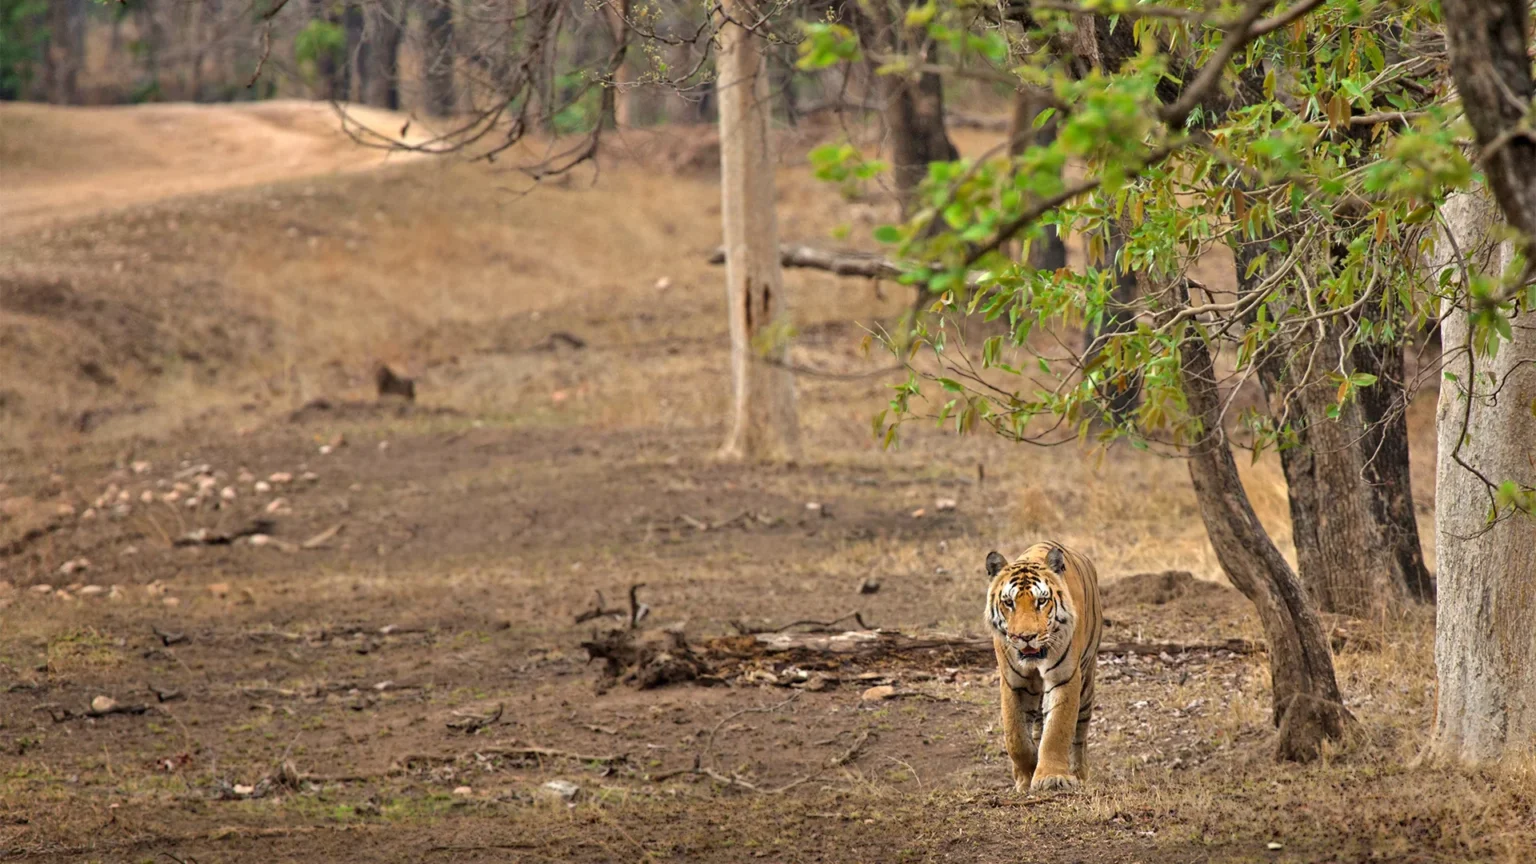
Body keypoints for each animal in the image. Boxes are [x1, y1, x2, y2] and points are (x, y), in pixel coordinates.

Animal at [984, 541, 1103, 795]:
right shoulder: (1013, 683)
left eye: (1041, 601)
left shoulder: (1064, 678)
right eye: (1009, 603)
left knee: (1080, 734)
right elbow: (1016, 737)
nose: (1025, 637)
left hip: (1087, 683)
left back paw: (1079, 774)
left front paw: (1051, 777)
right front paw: (1026, 777)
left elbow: (1057, 730)